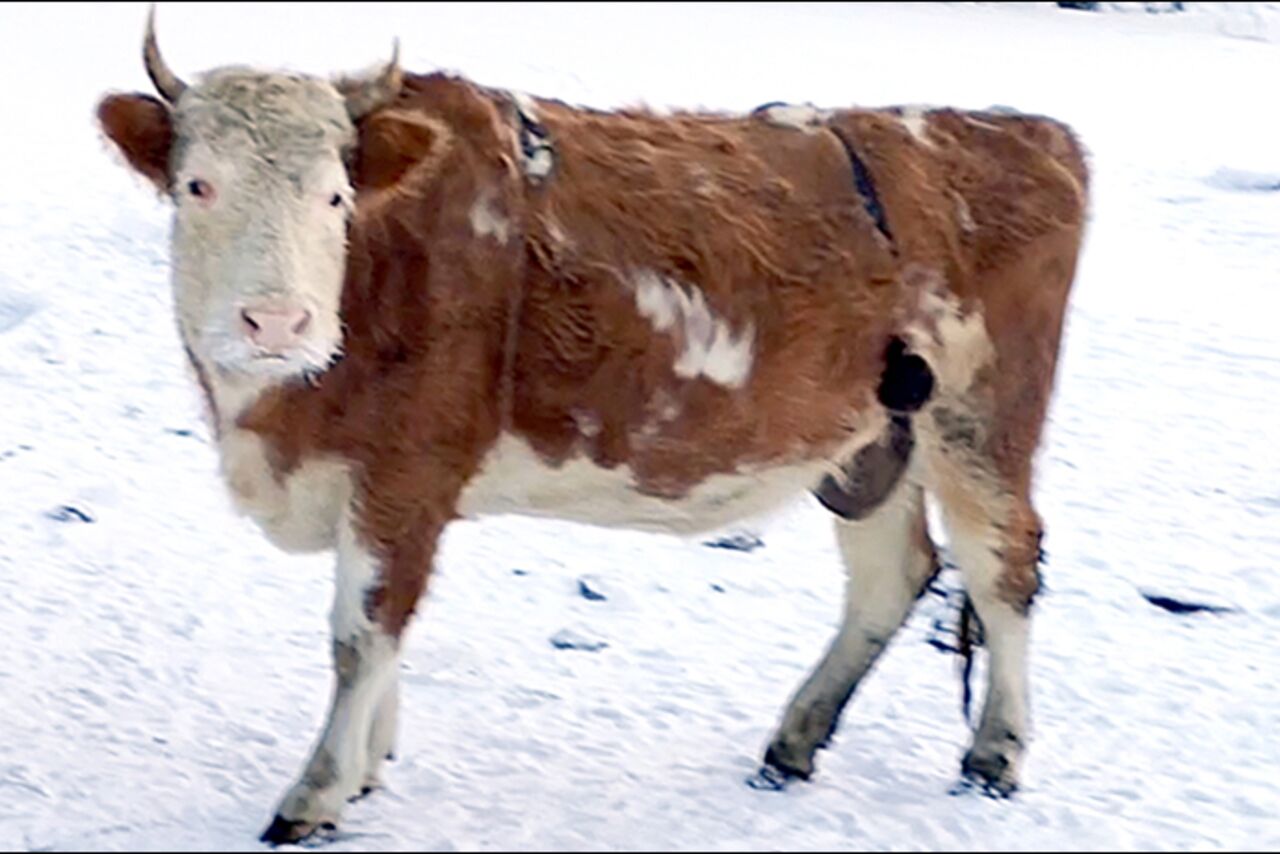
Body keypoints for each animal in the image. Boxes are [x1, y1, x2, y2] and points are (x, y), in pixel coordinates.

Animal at [94, 8, 1085, 850]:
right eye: (197, 185)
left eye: (336, 198)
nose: (276, 321)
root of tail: (1024, 131)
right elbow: (384, 636)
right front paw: (369, 769)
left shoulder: (407, 469)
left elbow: (361, 632)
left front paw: (317, 793)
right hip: (874, 436)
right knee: (893, 575)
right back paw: (794, 741)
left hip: (981, 418)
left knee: (1003, 565)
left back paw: (994, 753)